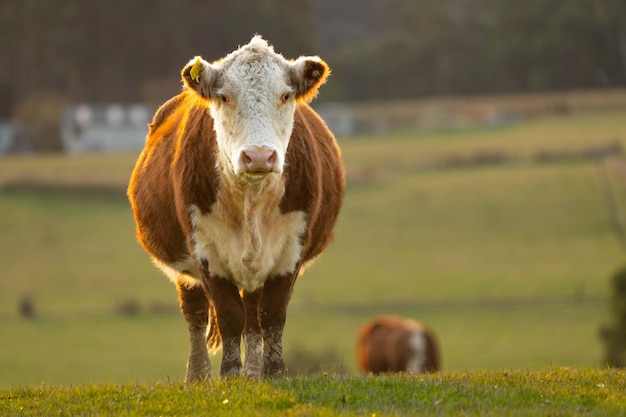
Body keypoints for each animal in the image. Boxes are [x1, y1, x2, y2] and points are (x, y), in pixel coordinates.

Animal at [125, 36, 344, 380]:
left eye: (285, 94)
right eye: (225, 96)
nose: (258, 156)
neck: (250, 201)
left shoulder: (292, 248)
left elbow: (272, 314)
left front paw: (274, 372)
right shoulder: (204, 250)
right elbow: (228, 315)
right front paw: (228, 374)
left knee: (253, 314)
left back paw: (253, 372)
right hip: (185, 268)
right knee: (196, 313)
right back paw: (198, 375)